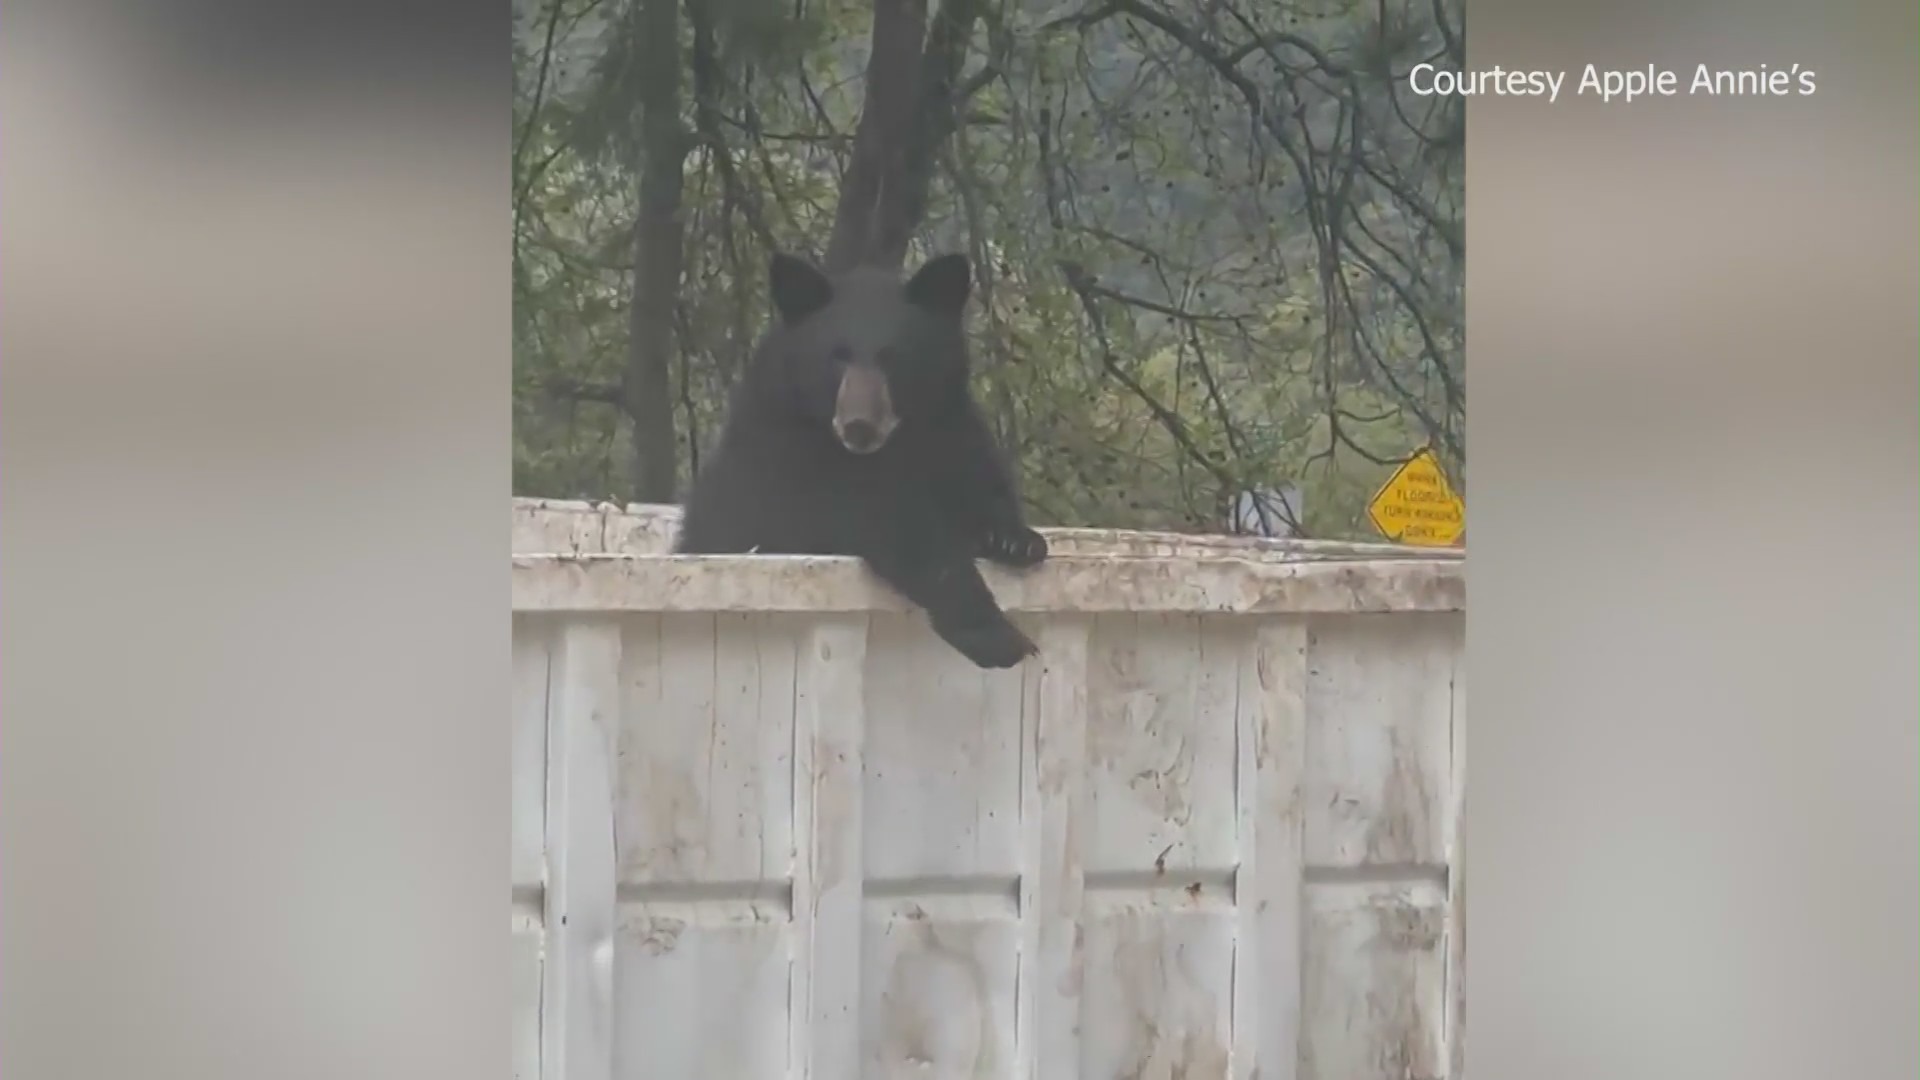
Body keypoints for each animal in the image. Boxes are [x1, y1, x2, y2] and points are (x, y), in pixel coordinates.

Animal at [675, 249, 1052, 664]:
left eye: (892, 357)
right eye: (837, 356)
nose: (859, 426)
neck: (890, 448)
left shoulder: (945, 429)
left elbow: (975, 475)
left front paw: (1015, 540)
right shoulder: (789, 461)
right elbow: (895, 527)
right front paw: (999, 637)